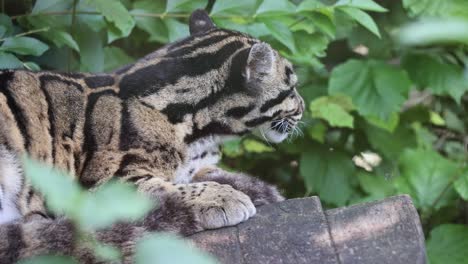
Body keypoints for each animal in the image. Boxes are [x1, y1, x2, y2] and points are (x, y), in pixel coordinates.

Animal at [0, 9, 304, 262]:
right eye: (291, 88)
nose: (302, 107)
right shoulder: (101, 183)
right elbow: (163, 187)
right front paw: (220, 196)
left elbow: (209, 173)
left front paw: (253, 186)